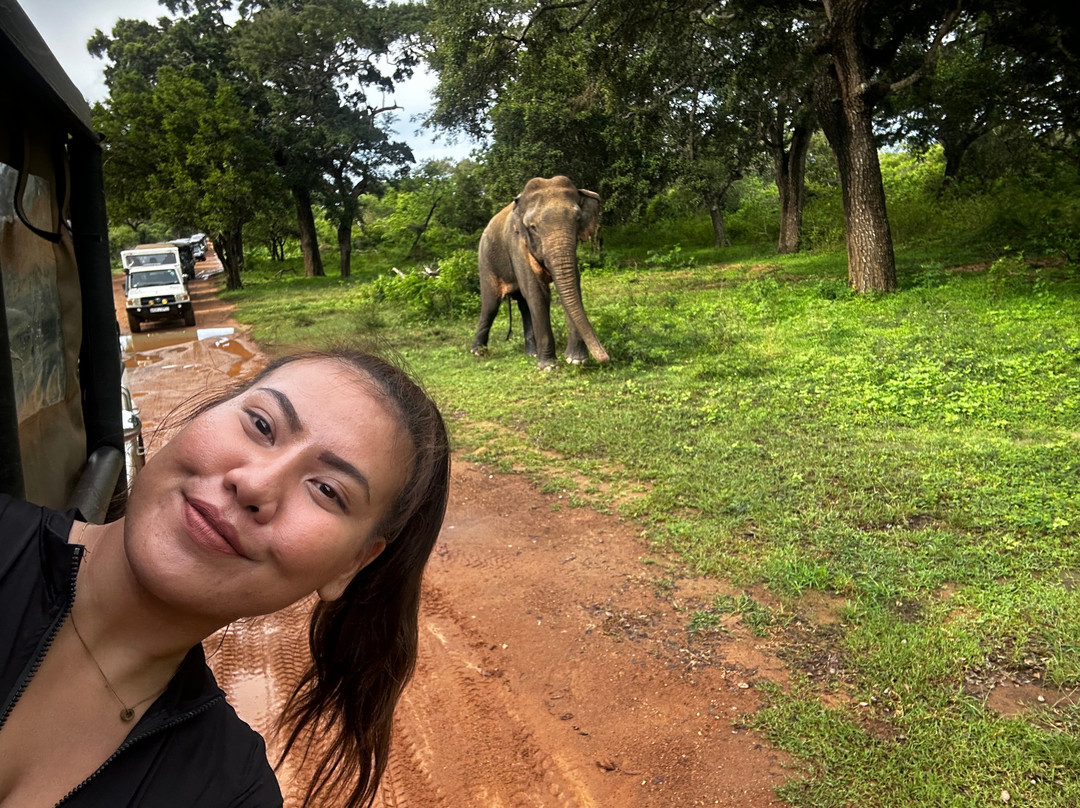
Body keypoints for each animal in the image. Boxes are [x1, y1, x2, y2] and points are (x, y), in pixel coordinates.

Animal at [470, 178, 613, 371]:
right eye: (533, 227)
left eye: (578, 219)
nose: (606, 358)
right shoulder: (517, 244)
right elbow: (538, 293)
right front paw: (549, 367)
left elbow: (572, 287)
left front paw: (576, 360)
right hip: (485, 260)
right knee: (490, 304)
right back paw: (478, 352)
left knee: (523, 305)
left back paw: (531, 353)